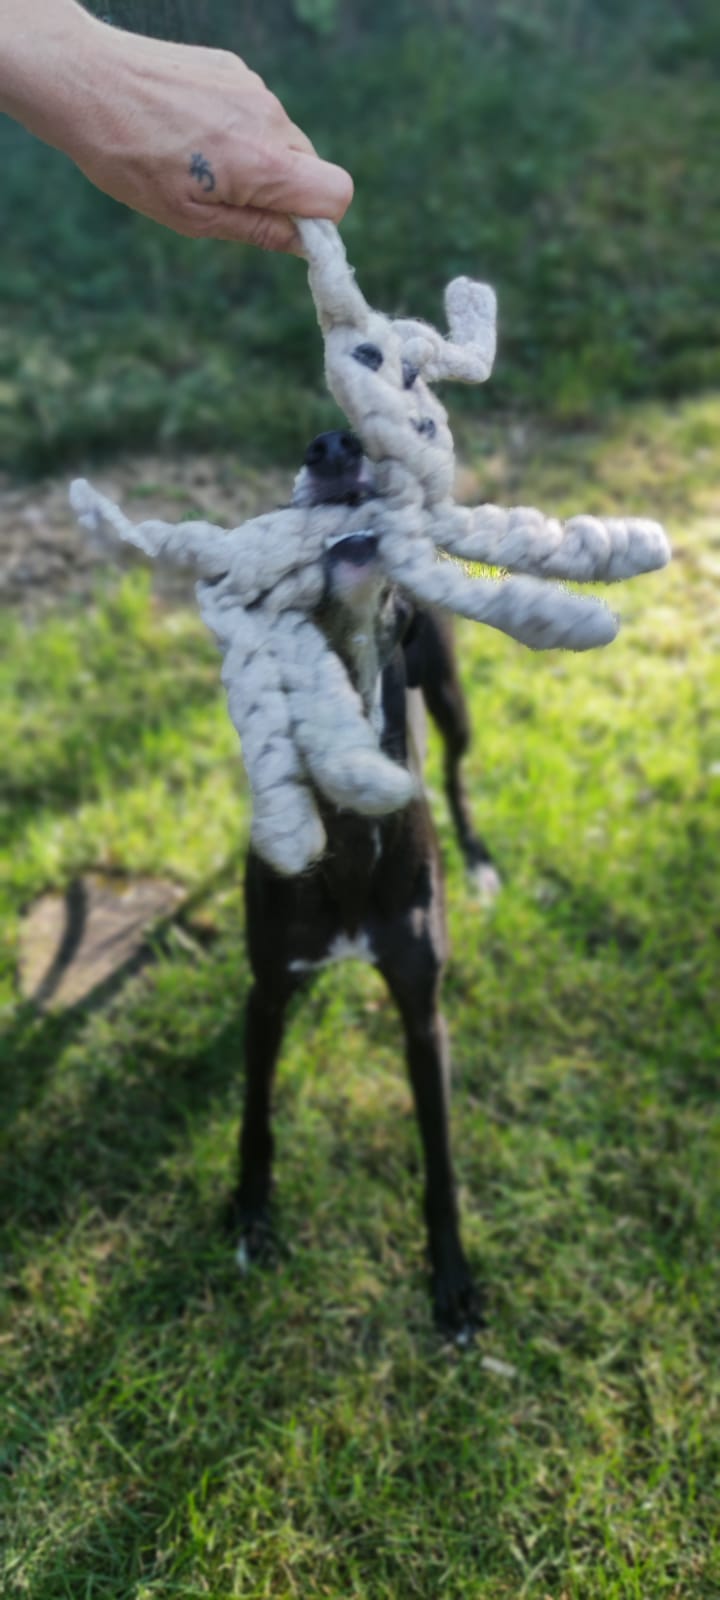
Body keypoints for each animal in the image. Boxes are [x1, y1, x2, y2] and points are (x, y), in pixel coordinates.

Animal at [233, 428, 499, 1337]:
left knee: (456, 771)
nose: (334, 445)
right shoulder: (267, 992)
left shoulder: (424, 1013)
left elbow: (442, 1157)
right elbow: (255, 1115)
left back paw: (480, 856)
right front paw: (249, 1212)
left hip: (448, 695)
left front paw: (451, 1279)